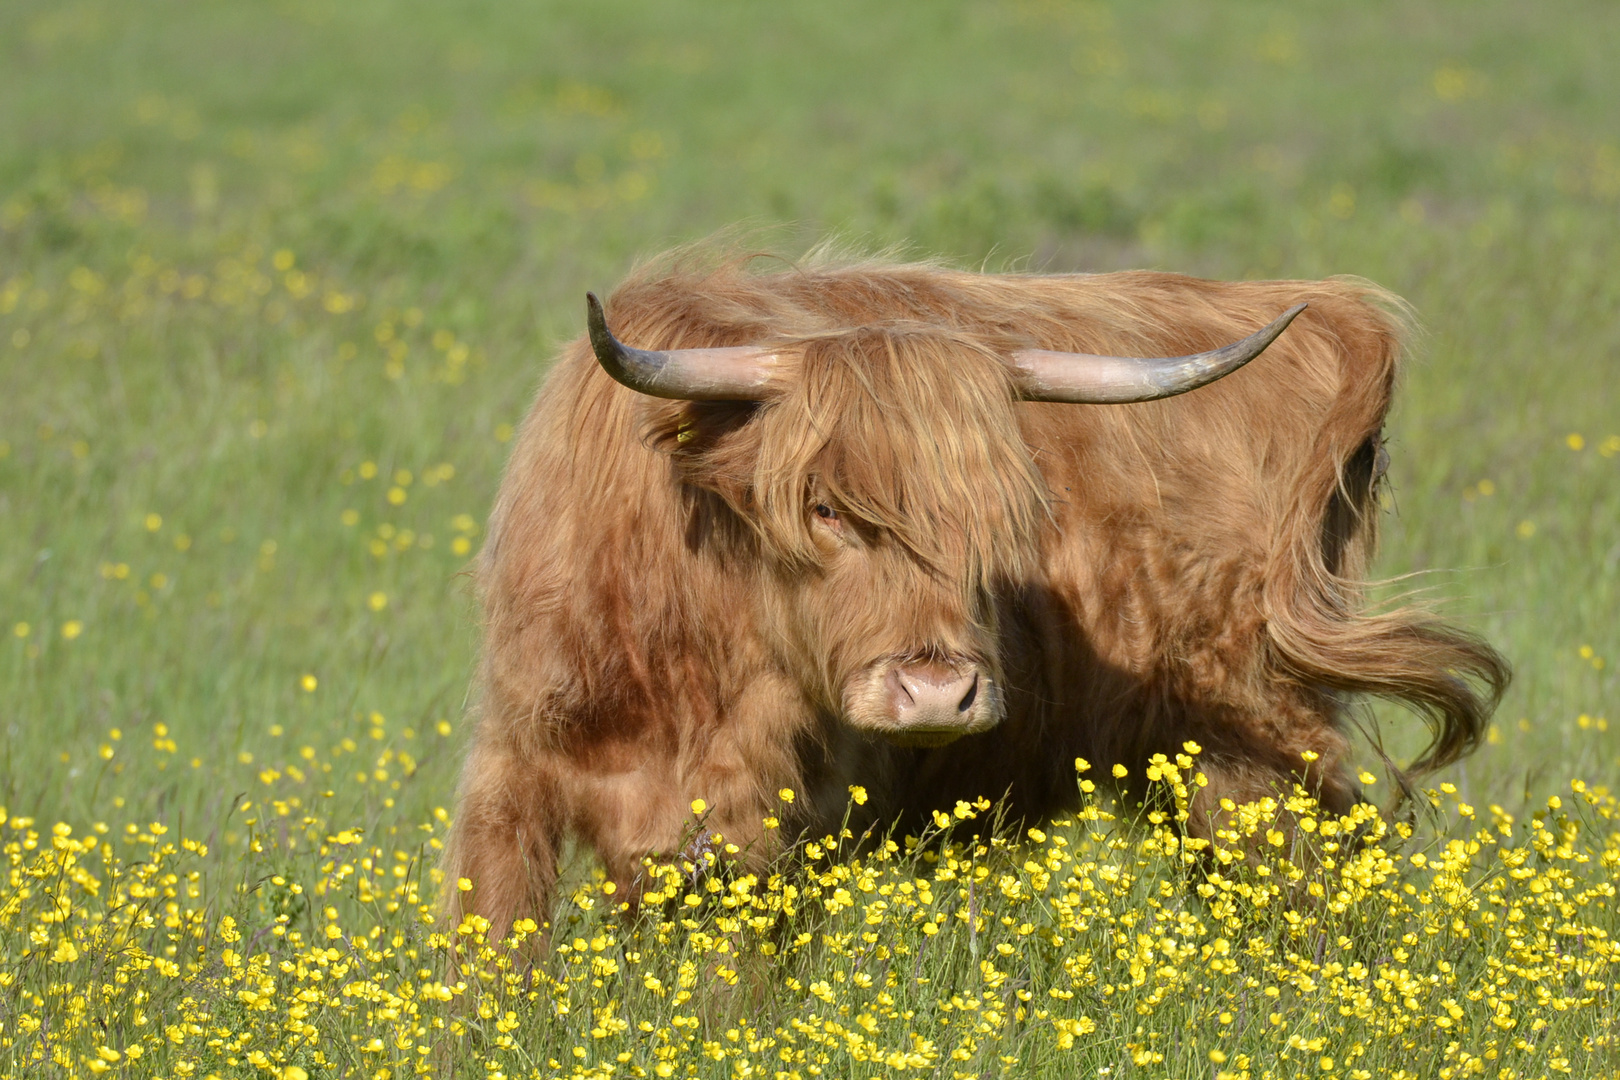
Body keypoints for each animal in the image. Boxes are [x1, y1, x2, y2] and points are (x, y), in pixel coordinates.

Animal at [440, 250, 1503, 939]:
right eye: (824, 507)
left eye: (1006, 518)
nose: (938, 693)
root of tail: (1319, 311)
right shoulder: (510, 777)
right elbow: (489, 966)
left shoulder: (768, 833)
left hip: (1255, 745)